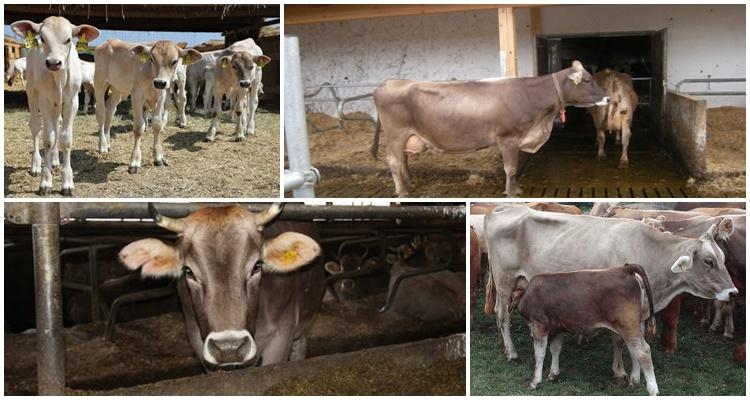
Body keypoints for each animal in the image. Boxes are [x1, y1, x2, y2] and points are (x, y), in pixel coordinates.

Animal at [11, 17, 100, 196]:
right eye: (42, 39)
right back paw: (36, 165)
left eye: (68, 39)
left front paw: (67, 182)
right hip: (32, 89)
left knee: (57, 123)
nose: (53, 62)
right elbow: (49, 139)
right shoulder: (44, 100)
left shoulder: (72, 101)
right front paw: (46, 182)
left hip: (58, 103)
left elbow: (65, 139)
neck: (59, 78)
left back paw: (54, 160)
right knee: (36, 126)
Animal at [94, 39, 201, 173]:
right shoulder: (137, 95)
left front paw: (158, 157)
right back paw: (102, 145)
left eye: (174, 61)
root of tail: (108, 42)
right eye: (151, 58)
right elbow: (139, 128)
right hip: (100, 83)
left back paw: (108, 143)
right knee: (101, 114)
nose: (160, 82)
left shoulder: (161, 96)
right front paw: (135, 162)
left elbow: (157, 124)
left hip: (117, 88)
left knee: (110, 110)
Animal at [371, 61, 608, 197]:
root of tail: (388, 82)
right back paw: (402, 192)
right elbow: (510, 168)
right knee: (394, 162)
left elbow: (514, 169)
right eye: (587, 80)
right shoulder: (507, 138)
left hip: (406, 136)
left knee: (403, 160)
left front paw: (517, 188)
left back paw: (409, 185)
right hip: (396, 134)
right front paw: (511, 193)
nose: (608, 98)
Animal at [484, 205, 737, 369]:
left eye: (723, 258)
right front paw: (621, 372)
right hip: (504, 280)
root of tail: (501, 209)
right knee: (502, 315)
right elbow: (618, 339)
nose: (733, 292)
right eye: (709, 261)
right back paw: (511, 352)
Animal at [509, 264, 658, 395]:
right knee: (634, 351)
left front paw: (535, 381)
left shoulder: (539, 326)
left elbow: (539, 354)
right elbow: (555, 349)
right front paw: (553, 374)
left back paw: (653, 390)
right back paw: (634, 381)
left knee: (643, 351)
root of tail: (624, 268)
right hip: (633, 327)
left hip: (628, 326)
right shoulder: (557, 328)